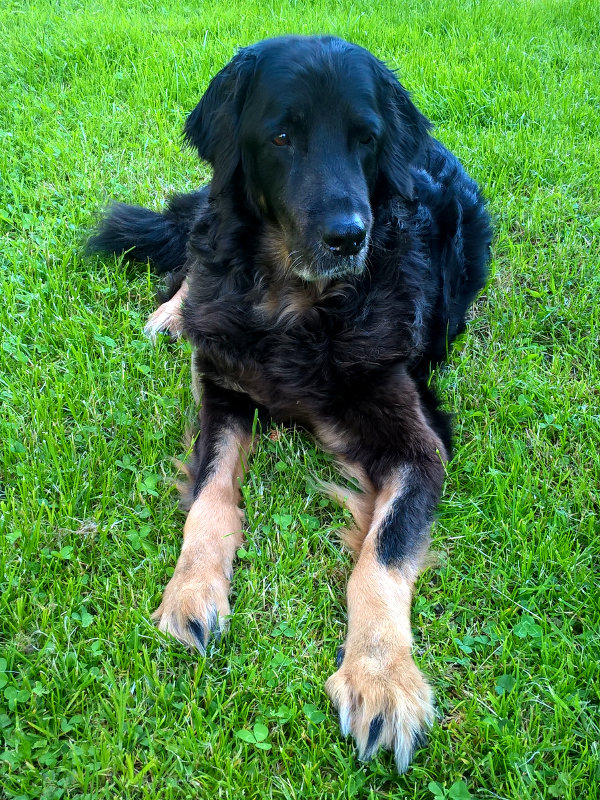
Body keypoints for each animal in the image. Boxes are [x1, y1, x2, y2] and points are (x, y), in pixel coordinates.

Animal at [89, 36, 492, 776]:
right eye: (282, 137)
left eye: (366, 140)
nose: (348, 235)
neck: (294, 307)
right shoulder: (221, 387)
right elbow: (211, 499)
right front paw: (192, 589)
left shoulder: (419, 444)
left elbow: (383, 556)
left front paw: (381, 676)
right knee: (197, 242)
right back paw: (172, 312)